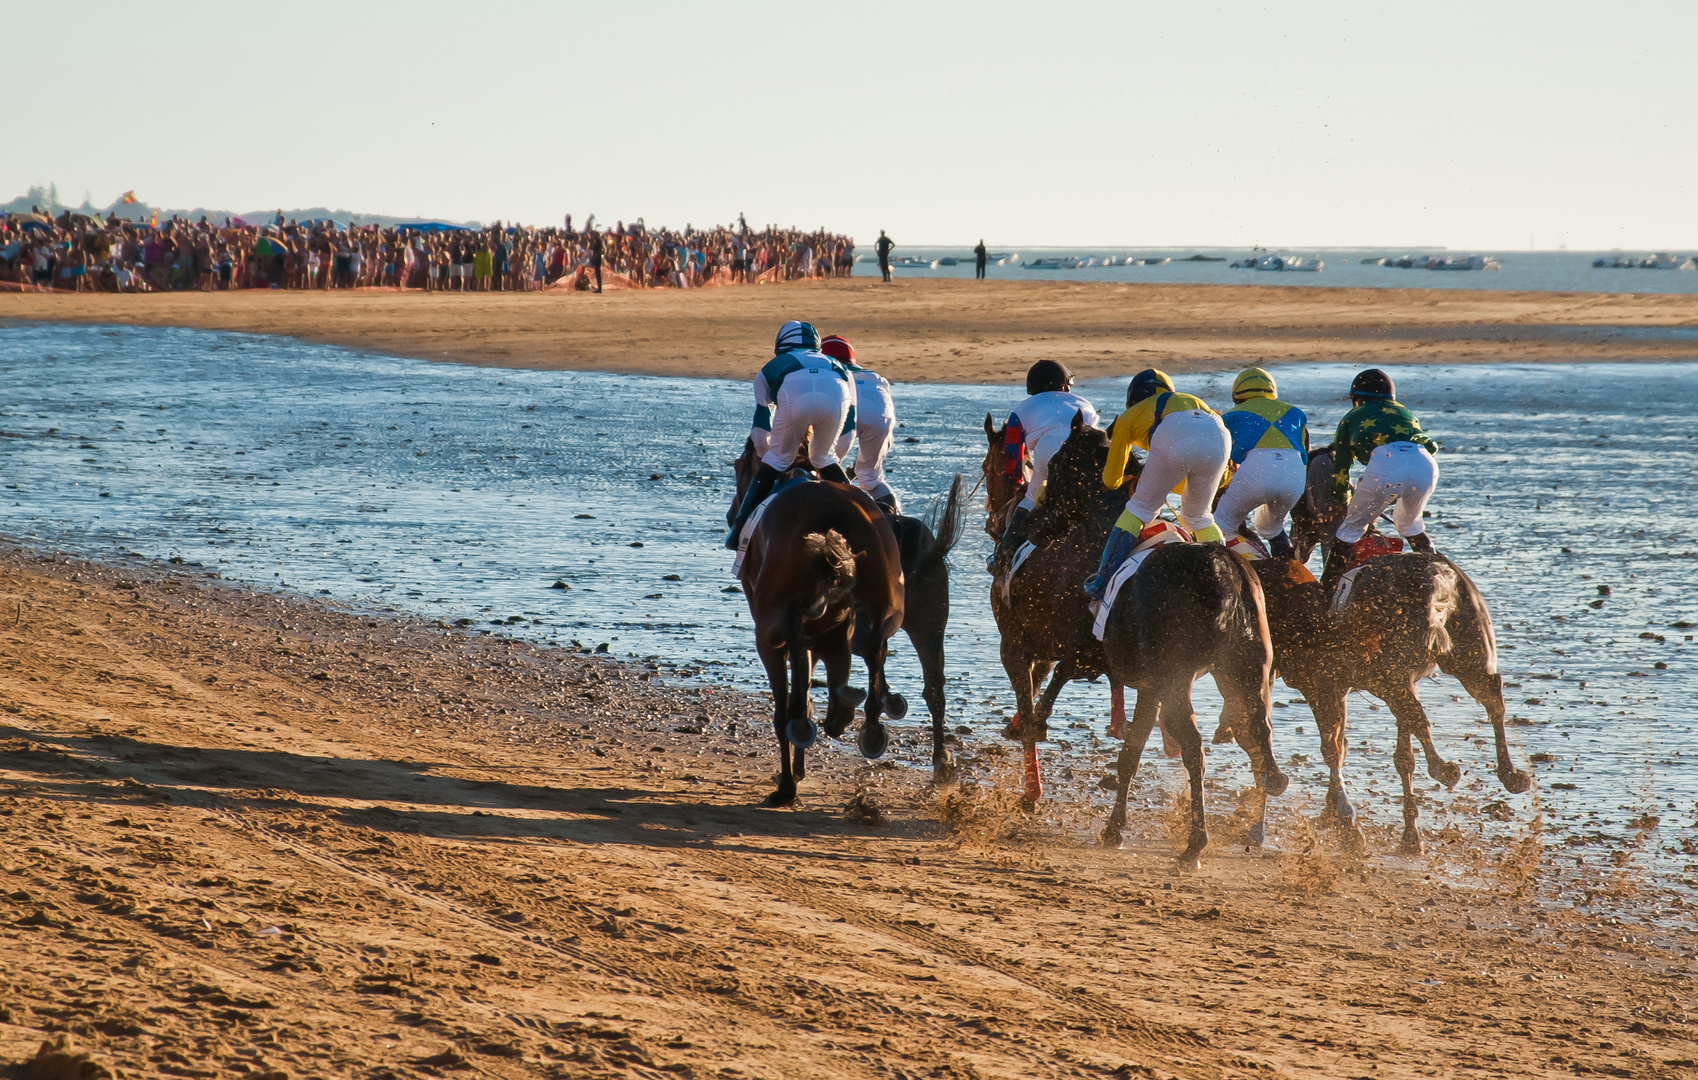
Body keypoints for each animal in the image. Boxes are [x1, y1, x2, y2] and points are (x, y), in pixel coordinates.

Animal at [984, 412, 1127, 808]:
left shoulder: (1014, 643)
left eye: (986, 466)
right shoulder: (1048, 648)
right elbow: (1039, 688)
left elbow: (1033, 696)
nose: (993, 522)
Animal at [1256, 444, 1534, 852]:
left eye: (1297, 508)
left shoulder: (1331, 683)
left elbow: (1339, 743)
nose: (1295, 547)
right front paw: (1408, 833)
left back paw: (1445, 768)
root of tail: (1439, 580)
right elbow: (1402, 754)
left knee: (1422, 715)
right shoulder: (1403, 677)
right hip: (1467, 654)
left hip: (1389, 677)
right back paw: (1510, 773)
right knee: (1490, 694)